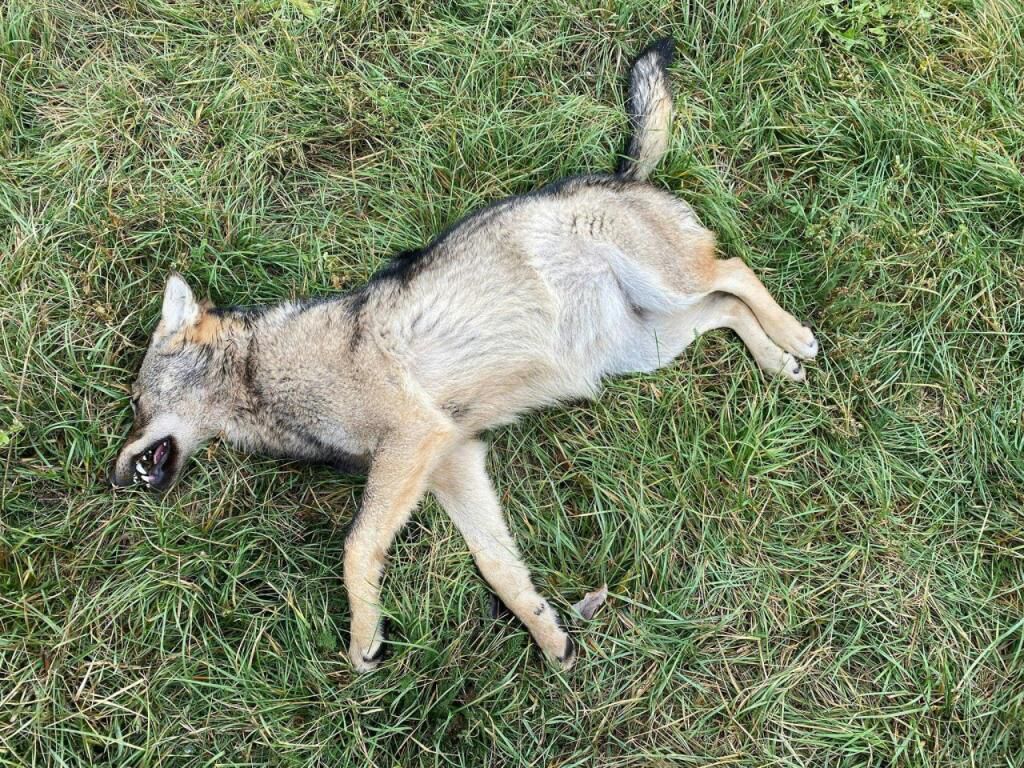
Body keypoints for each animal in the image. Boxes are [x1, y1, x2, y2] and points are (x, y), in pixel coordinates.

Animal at [110, 38, 818, 671]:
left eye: (139, 403)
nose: (114, 477)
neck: (266, 374)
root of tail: (619, 176)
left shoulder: (412, 439)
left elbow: (356, 547)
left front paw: (365, 635)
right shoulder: (452, 461)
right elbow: (498, 565)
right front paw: (548, 634)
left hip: (669, 289)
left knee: (735, 269)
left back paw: (795, 338)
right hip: (648, 344)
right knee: (725, 308)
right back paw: (777, 359)